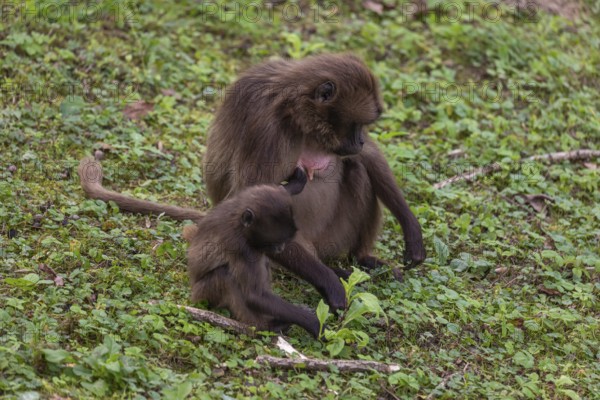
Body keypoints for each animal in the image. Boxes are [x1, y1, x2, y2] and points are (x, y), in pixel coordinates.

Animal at [204, 54, 424, 310]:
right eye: (355, 124)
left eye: (362, 127)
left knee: (357, 167)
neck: (295, 113)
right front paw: (331, 284)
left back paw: (361, 258)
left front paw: (411, 228)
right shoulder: (266, 129)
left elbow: (367, 155)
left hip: (334, 236)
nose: (359, 140)